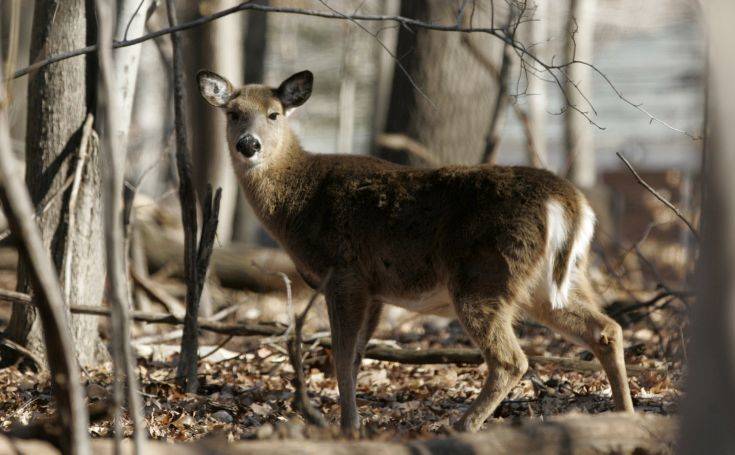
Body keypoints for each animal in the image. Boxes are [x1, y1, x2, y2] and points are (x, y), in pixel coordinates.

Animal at [198, 69, 636, 432]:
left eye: (274, 114)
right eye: (233, 113)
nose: (248, 145)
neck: (300, 202)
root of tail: (569, 201)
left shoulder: (345, 273)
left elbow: (340, 355)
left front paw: (347, 426)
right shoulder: (374, 289)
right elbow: (356, 357)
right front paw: (353, 421)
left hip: (484, 277)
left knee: (512, 359)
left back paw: (461, 425)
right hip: (557, 280)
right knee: (606, 328)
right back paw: (625, 414)